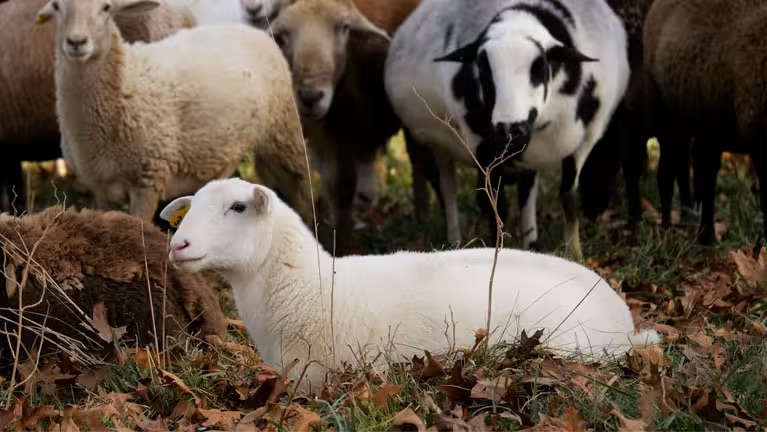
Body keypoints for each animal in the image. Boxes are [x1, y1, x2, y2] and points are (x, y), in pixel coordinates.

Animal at [384, 0, 632, 260]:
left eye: (539, 66)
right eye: (482, 70)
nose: (508, 130)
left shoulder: (586, 138)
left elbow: (569, 197)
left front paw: (574, 254)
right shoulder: (481, 148)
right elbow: (494, 203)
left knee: (526, 192)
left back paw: (531, 245)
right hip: (439, 144)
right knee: (448, 188)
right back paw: (455, 242)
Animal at [640, 0, 767, 243]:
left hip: (702, 124)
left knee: (695, 172)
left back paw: (696, 224)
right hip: (668, 116)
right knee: (667, 175)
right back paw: (670, 230)